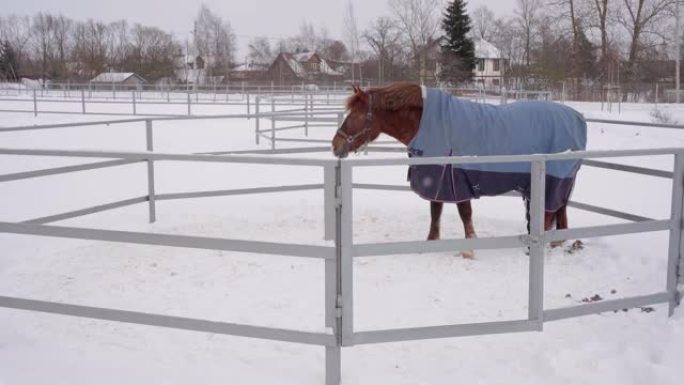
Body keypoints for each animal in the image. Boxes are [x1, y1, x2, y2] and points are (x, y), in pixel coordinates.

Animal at [332, 82, 584, 256]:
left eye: (355, 115)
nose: (336, 145)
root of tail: (577, 118)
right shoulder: (438, 181)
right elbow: (435, 213)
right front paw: (431, 242)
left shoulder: (458, 182)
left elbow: (464, 214)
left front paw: (469, 249)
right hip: (559, 181)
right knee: (560, 211)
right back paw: (557, 242)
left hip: (553, 178)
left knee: (549, 213)